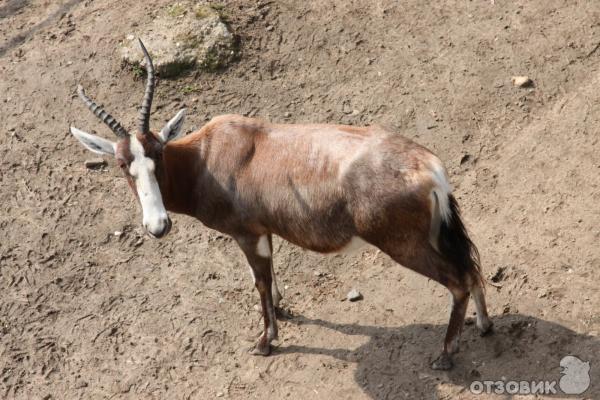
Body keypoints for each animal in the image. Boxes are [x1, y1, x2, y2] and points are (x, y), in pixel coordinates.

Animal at [70, 39, 492, 370]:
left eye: (157, 152)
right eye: (122, 164)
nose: (158, 226)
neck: (208, 155)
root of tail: (429, 167)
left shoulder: (246, 235)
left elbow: (258, 281)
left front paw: (265, 342)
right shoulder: (263, 231)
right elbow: (268, 277)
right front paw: (283, 309)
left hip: (404, 245)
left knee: (457, 280)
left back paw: (445, 355)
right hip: (435, 236)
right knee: (471, 268)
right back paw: (485, 326)